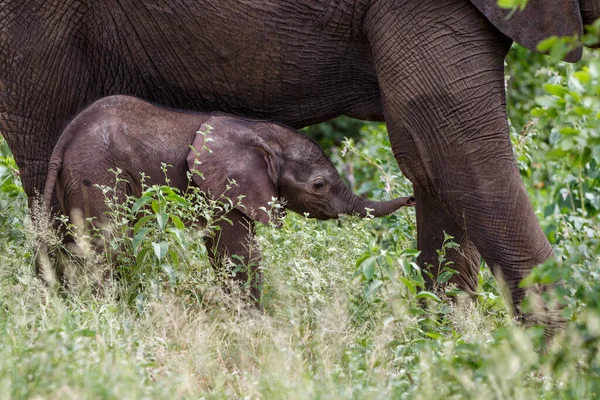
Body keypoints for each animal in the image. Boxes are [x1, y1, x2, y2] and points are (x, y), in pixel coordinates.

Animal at [44, 94, 414, 300]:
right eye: (319, 186)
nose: (412, 197)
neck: (258, 131)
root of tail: (63, 142)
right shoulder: (225, 188)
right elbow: (239, 253)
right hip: (97, 173)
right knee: (109, 246)